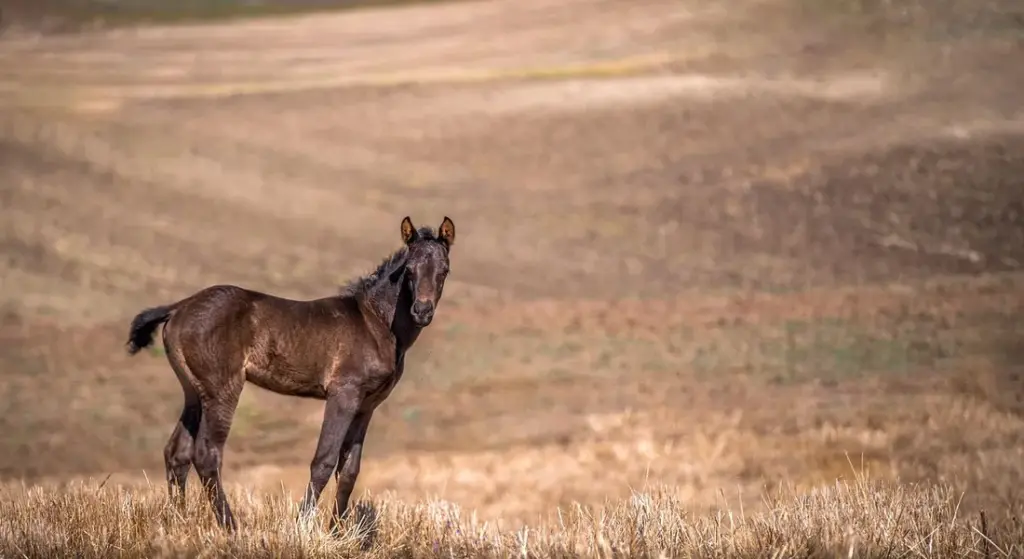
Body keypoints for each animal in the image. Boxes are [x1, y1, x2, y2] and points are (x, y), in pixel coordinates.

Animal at [125, 215, 456, 531]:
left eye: (444, 271)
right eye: (409, 270)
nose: (422, 311)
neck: (375, 323)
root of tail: (179, 307)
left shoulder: (367, 405)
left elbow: (349, 469)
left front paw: (338, 533)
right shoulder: (343, 395)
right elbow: (323, 461)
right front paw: (303, 528)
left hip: (193, 392)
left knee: (177, 451)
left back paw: (176, 521)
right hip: (222, 389)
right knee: (206, 454)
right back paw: (231, 527)